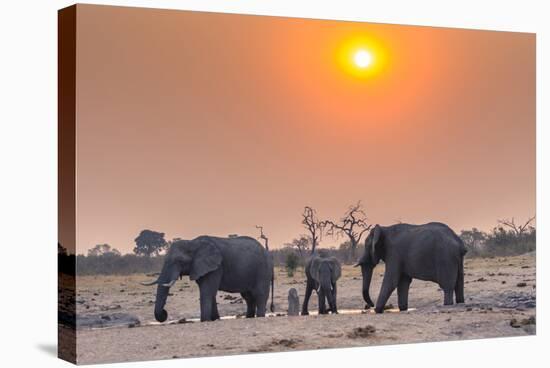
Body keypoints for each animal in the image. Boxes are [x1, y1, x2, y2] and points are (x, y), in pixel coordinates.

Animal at [141, 236, 272, 322]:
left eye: (179, 261)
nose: (164, 313)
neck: (193, 243)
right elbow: (210, 292)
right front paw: (215, 319)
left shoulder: (215, 267)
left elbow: (207, 291)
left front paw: (204, 320)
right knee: (248, 296)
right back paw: (249, 317)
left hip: (263, 270)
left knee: (260, 294)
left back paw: (260, 316)